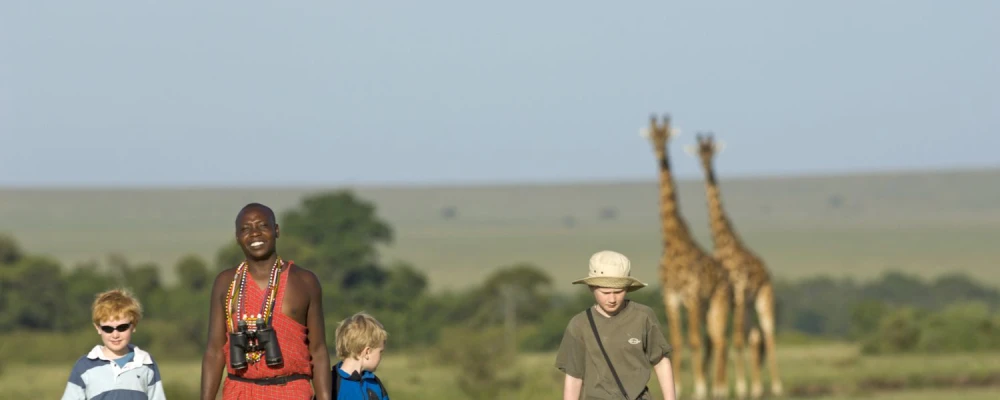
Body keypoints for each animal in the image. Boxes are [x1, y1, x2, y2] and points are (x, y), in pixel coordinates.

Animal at [640, 113, 736, 400]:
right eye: (652, 136)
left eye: (666, 135)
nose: (659, 151)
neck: (672, 241)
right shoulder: (671, 297)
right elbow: (677, 341)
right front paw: (681, 388)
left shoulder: (692, 296)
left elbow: (692, 341)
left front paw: (701, 389)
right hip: (705, 307)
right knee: (711, 340)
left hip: (718, 301)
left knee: (719, 339)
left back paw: (719, 388)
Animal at [692, 133, 784, 398]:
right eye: (699, 152)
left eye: (711, 151)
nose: (705, 164)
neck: (724, 244)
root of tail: (766, 272)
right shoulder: (724, 297)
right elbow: (717, 340)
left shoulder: (739, 292)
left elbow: (735, 340)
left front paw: (738, 387)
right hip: (748, 305)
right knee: (754, 338)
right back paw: (756, 387)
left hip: (763, 297)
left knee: (767, 335)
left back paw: (775, 386)